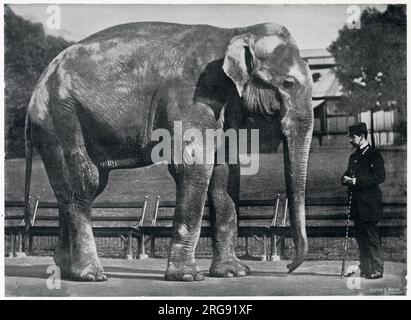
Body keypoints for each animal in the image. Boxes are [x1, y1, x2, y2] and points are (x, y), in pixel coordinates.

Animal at [24, 21, 314, 280]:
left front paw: (234, 272)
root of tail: (37, 87)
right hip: (61, 118)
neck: (236, 31)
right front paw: (187, 276)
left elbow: (224, 173)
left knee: (74, 188)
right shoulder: (191, 96)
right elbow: (194, 166)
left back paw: (65, 271)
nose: (289, 267)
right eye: (288, 83)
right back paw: (91, 274)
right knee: (84, 185)